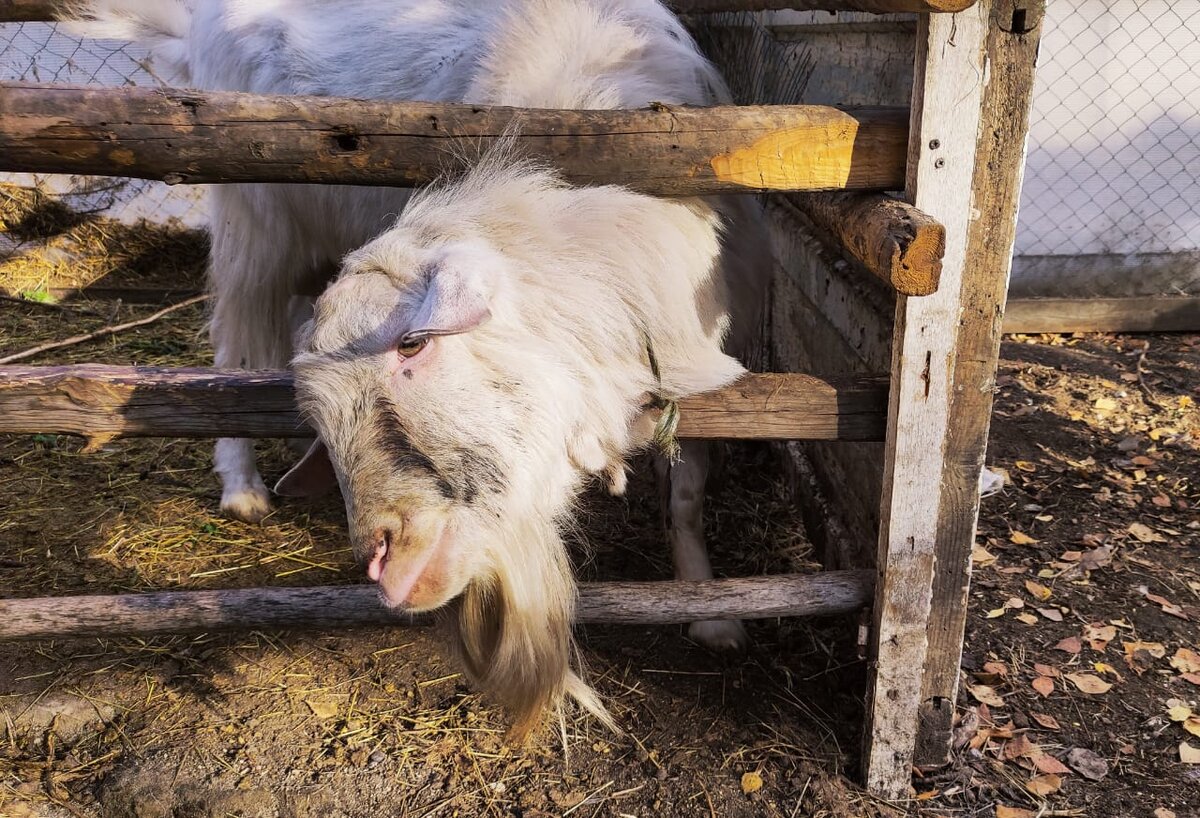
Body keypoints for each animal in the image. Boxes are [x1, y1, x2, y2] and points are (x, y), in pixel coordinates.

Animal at [72, 0, 768, 729]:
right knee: (233, 341)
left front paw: (711, 610)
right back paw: (242, 487)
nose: (382, 556)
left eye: (413, 344)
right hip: (253, 221)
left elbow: (689, 492)